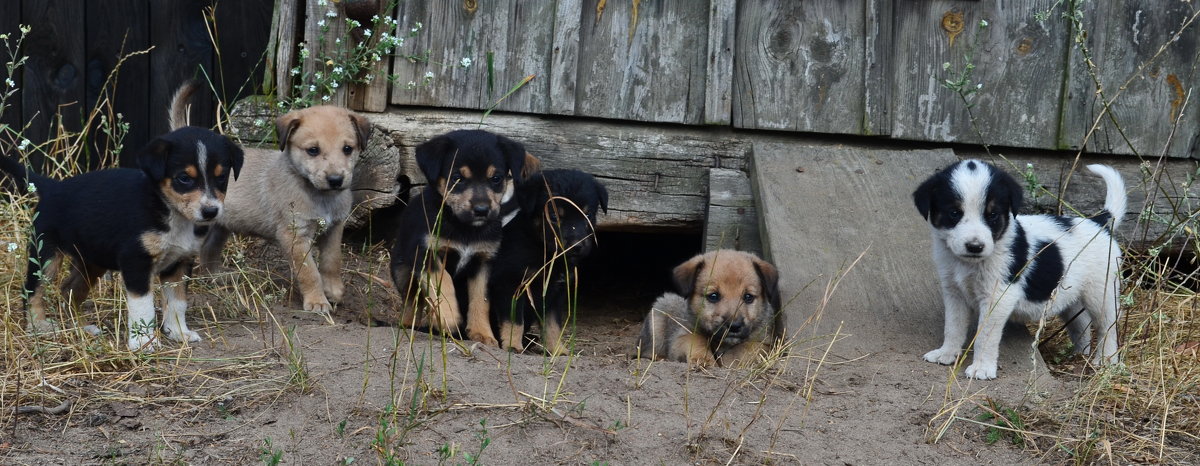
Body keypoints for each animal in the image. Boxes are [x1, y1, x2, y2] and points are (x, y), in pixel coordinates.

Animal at [0, 126, 243, 350]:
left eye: (222, 177)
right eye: (184, 178)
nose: (211, 211)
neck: (169, 211)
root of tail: (52, 187)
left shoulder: (180, 262)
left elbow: (177, 302)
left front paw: (178, 333)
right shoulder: (136, 261)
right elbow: (143, 305)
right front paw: (144, 342)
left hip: (91, 261)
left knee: (70, 291)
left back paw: (82, 328)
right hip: (46, 256)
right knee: (32, 290)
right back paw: (38, 326)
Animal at [391, 128, 528, 345]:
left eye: (496, 178)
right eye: (457, 177)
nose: (481, 210)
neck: (464, 229)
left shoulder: (484, 261)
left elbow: (481, 299)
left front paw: (482, 333)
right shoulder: (426, 253)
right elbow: (442, 281)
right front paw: (449, 318)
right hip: (402, 270)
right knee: (412, 300)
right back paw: (410, 325)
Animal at [489, 169, 609, 355]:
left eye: (588, 215)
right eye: (553, 216)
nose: (576, 246)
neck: (545, 253)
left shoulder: (555, 292)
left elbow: (553, 326)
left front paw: (558, 350)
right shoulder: (510, 283)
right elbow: (514, 321)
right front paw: (513, 345)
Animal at [638, 249, 787, 365]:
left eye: (748, 297)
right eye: (713, 296)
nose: (734, 326)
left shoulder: (765, 343)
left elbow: (744, 348)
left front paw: (729, 360)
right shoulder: (681, 336)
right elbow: (696, 340)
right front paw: (703, 359)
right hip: (657, 319)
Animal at [916, 159, 1123, 379]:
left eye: (992, 215)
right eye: (954, 213)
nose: (975, 246)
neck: (968, 264)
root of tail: (1099, 222)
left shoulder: (997, 298)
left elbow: (985, 336)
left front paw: (981, 368)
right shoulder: (954, 294)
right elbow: (953, 327)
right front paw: (946, 354)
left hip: (1102, 294)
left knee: (1107, 327)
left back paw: (1106, 361)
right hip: (1071, 297)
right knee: (1081, 324)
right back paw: (1078, 356)